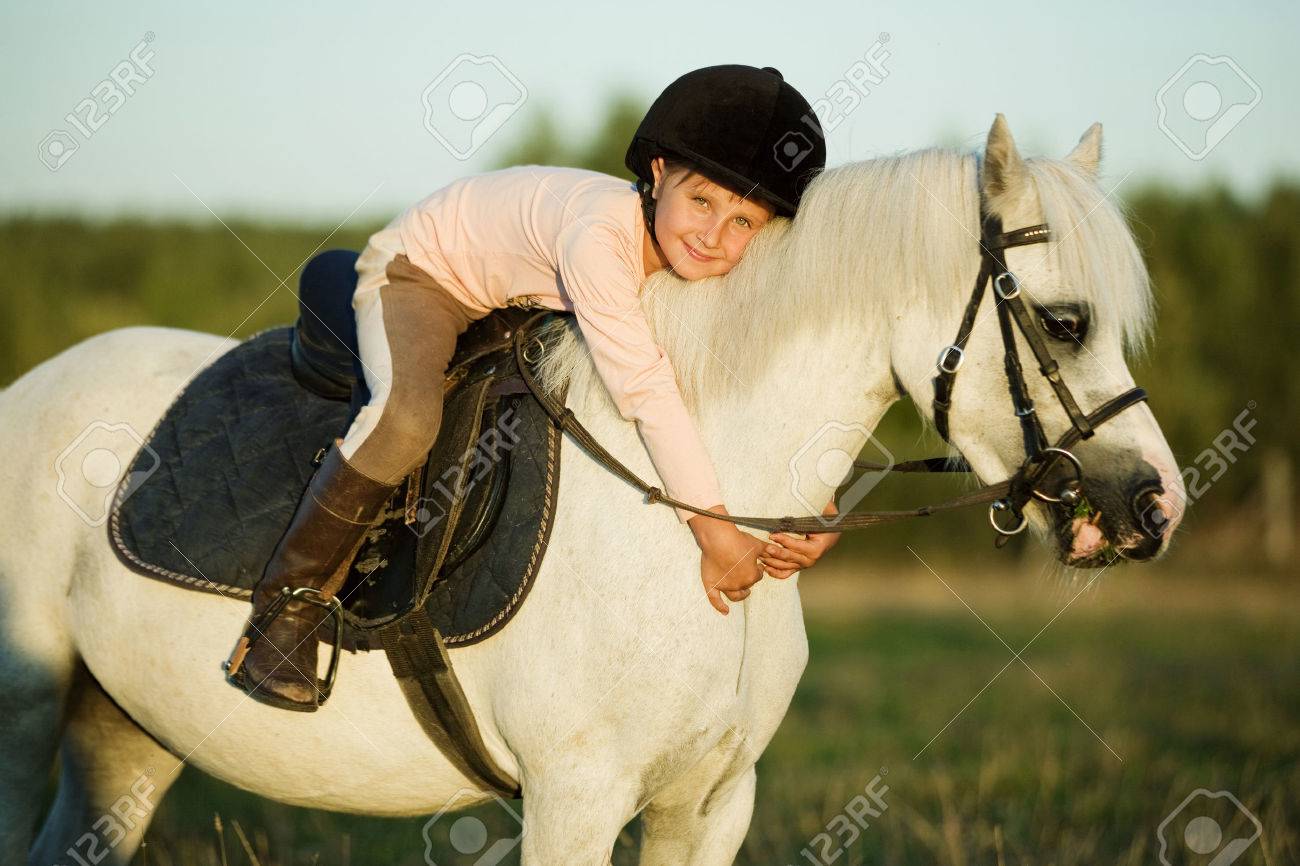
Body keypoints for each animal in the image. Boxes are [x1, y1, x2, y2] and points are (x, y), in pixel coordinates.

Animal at [1, 114, 1184, 865]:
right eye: (1065, 320)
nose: (1155, 506)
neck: (690, 511)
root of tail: (35, 386)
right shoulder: (574, 801)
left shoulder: (710, 804)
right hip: (27, 706)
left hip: (128, 729)